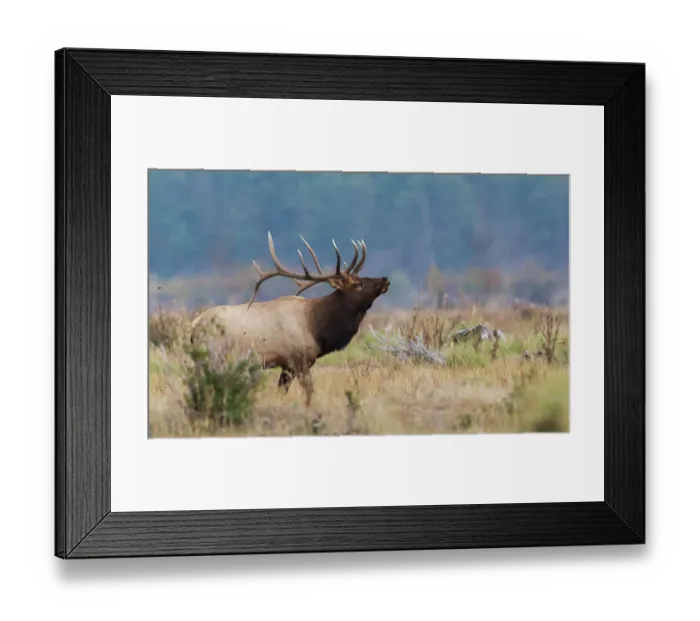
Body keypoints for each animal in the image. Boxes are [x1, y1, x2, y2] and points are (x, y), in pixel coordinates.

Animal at [190, 232, 390, 406]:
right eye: (357, 284)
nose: (385, 279)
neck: (317, 328)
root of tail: (193, 327)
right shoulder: (298, 359)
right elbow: (309, 392)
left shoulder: (287, 365)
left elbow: (281, 392)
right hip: (214, 355)